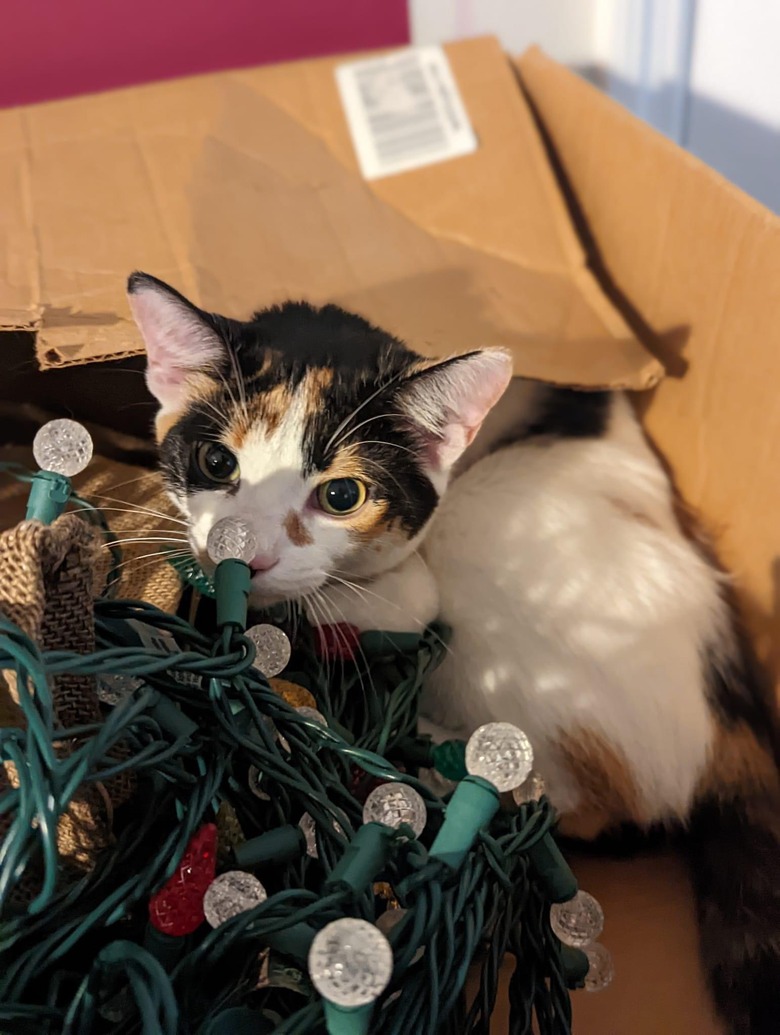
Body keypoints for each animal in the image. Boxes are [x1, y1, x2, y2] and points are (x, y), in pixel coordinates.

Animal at [127, 271, 777, 1030]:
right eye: (216, 461)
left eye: (341, 495)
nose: (246, 557)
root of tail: (733, 716)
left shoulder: (414, 583)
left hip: (486, 528)